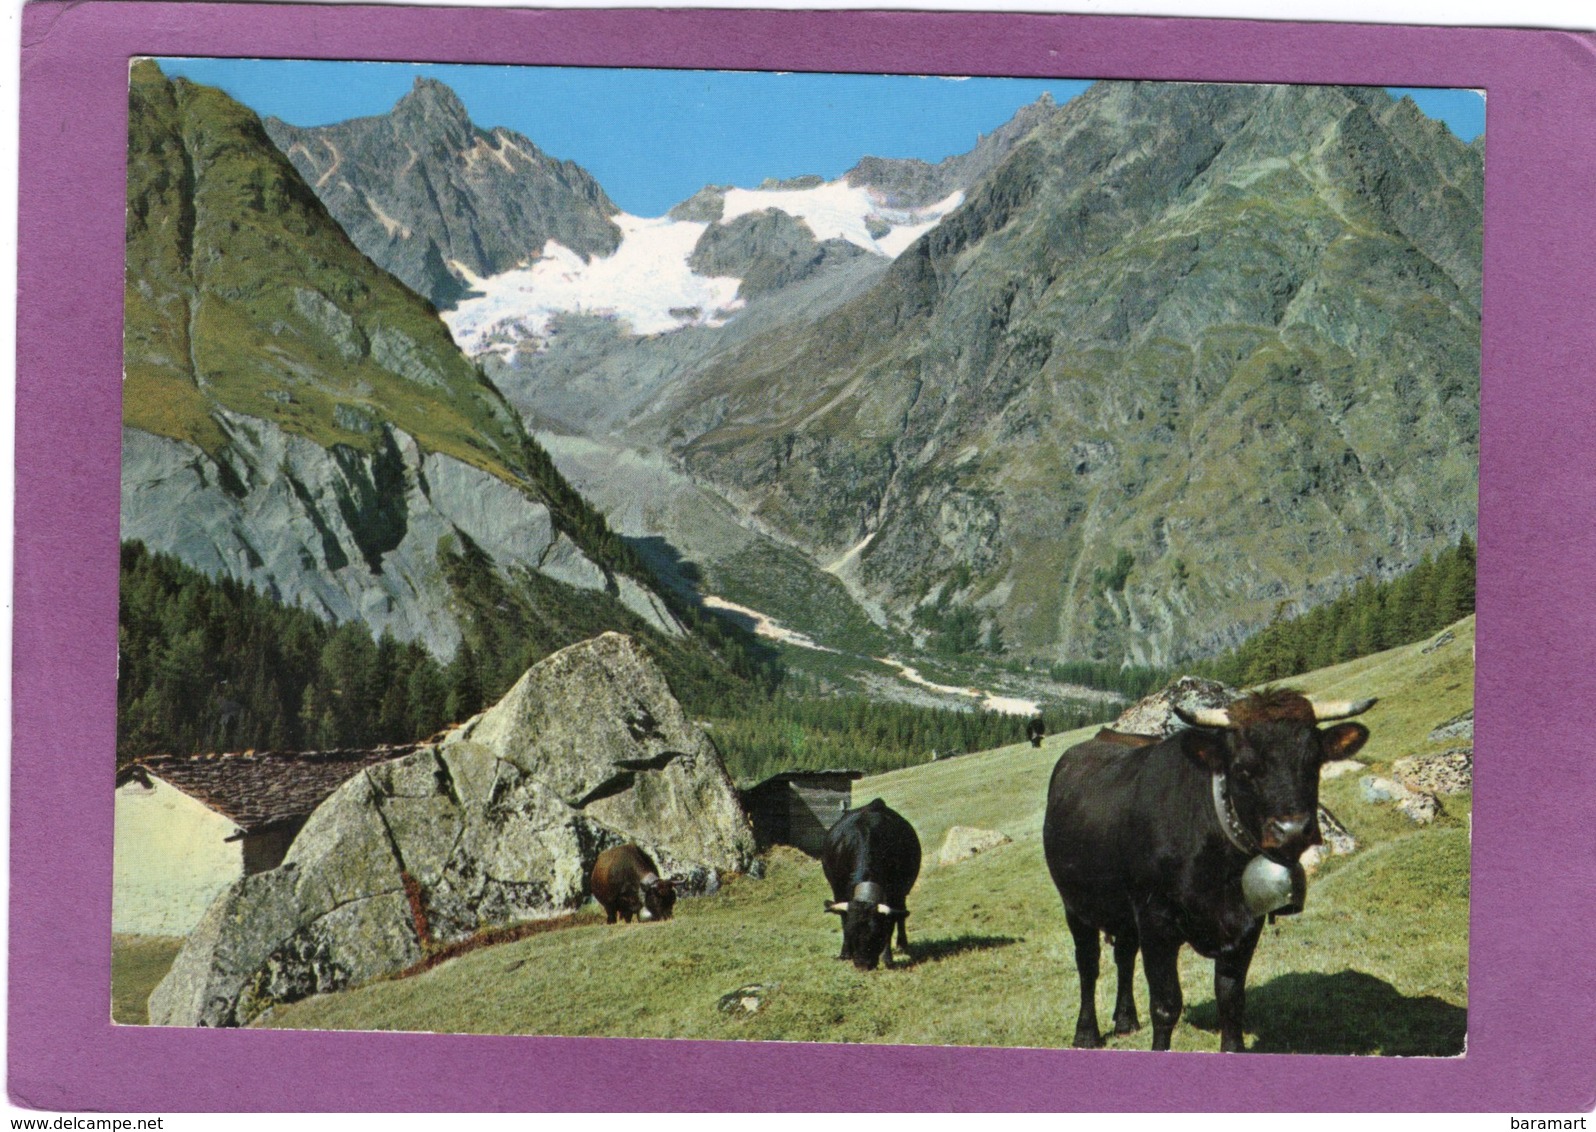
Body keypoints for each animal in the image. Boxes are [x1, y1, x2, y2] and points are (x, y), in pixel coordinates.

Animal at [823, 795, 925, 970]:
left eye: (877, 935)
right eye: (851, 934)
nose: (863, 965)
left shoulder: (895, 893)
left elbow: (891, 923)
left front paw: (888, 958)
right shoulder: (839, 891)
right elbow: (843, 919)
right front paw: (844, 954)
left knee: (901, 914)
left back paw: (902, 944)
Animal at [1046, 689, 1372, 1053]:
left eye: (1314, 761)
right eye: (1243, 768)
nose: (1293, 830)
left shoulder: (1247, 923)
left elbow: (1230, 998)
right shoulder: (1155, 922)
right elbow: (1165, 1004)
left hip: (1121, 909)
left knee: (1124, 954)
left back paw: (1126, 1020)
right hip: (1075, 904)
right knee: (1088, 963)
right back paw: (1086, 1033)